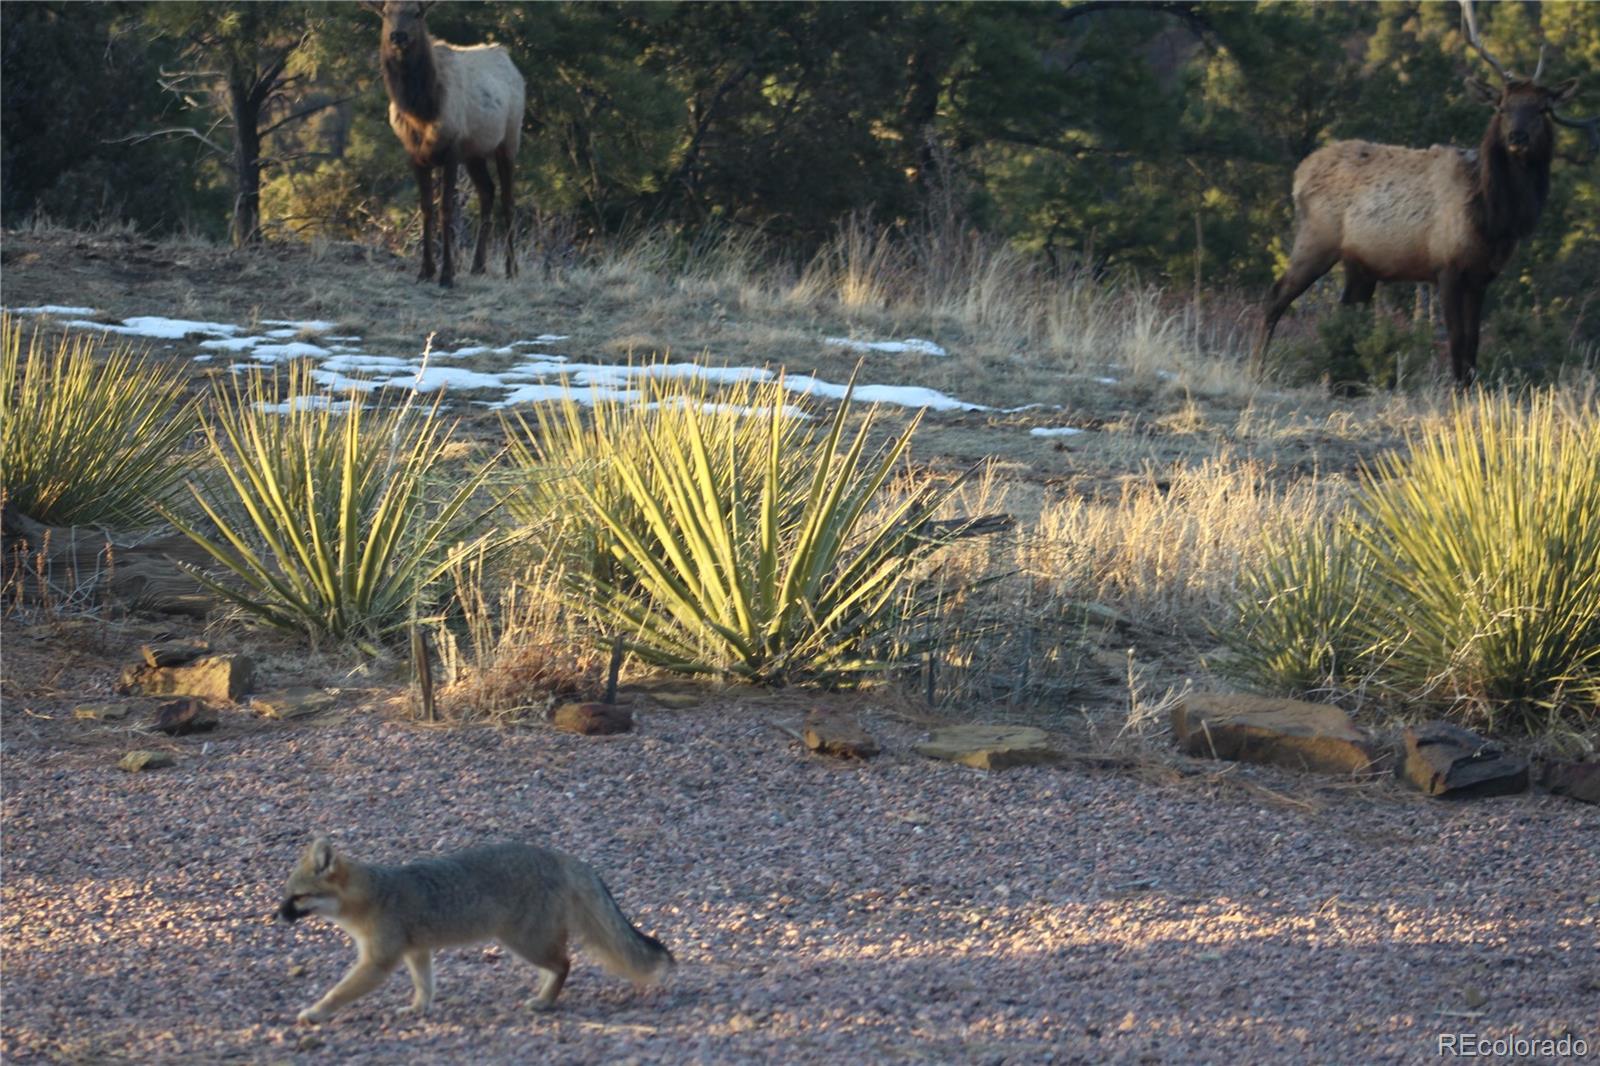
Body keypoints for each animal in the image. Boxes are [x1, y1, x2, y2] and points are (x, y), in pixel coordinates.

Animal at [278, 832, 672, 1024]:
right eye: (287, 895)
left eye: (297, 898)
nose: (277, 915)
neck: (375, 894)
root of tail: (559, 856)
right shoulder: (417, 951)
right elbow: (425, 985)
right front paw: (419, 1009)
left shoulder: (378, 962)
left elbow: (339, 991)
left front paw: (316, 1012)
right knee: (559, 965)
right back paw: (543, 994)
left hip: (522, 941)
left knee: (565, 963)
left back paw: (545, 1002)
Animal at [366, 0, 521, 286]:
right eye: (386, 13)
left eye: (417, 12)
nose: (398, 36)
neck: (422, 111)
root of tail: (508, 59)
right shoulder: (415, 155)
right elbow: (426, 207)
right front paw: (425, 270)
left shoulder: (451, 150)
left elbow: (446, 209)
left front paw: (447, 274)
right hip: (474, 153)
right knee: (487, 191)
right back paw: (478, 265)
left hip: (509, 140)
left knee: (507, 200)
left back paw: (511, 268)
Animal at [1254, 0, 1593, 382]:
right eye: (1502, 107)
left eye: (1541, 109)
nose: (1516, 138)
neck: (1492, 217)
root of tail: (1299, 173)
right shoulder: (1446, 266)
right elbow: (1457, 341)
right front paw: (1456, 389)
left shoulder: (1482, 276)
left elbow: (1474, 344)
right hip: (1316, 240)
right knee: (1275, 297)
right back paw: (1258, 368)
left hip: (1360, 264)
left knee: (1346, 313)